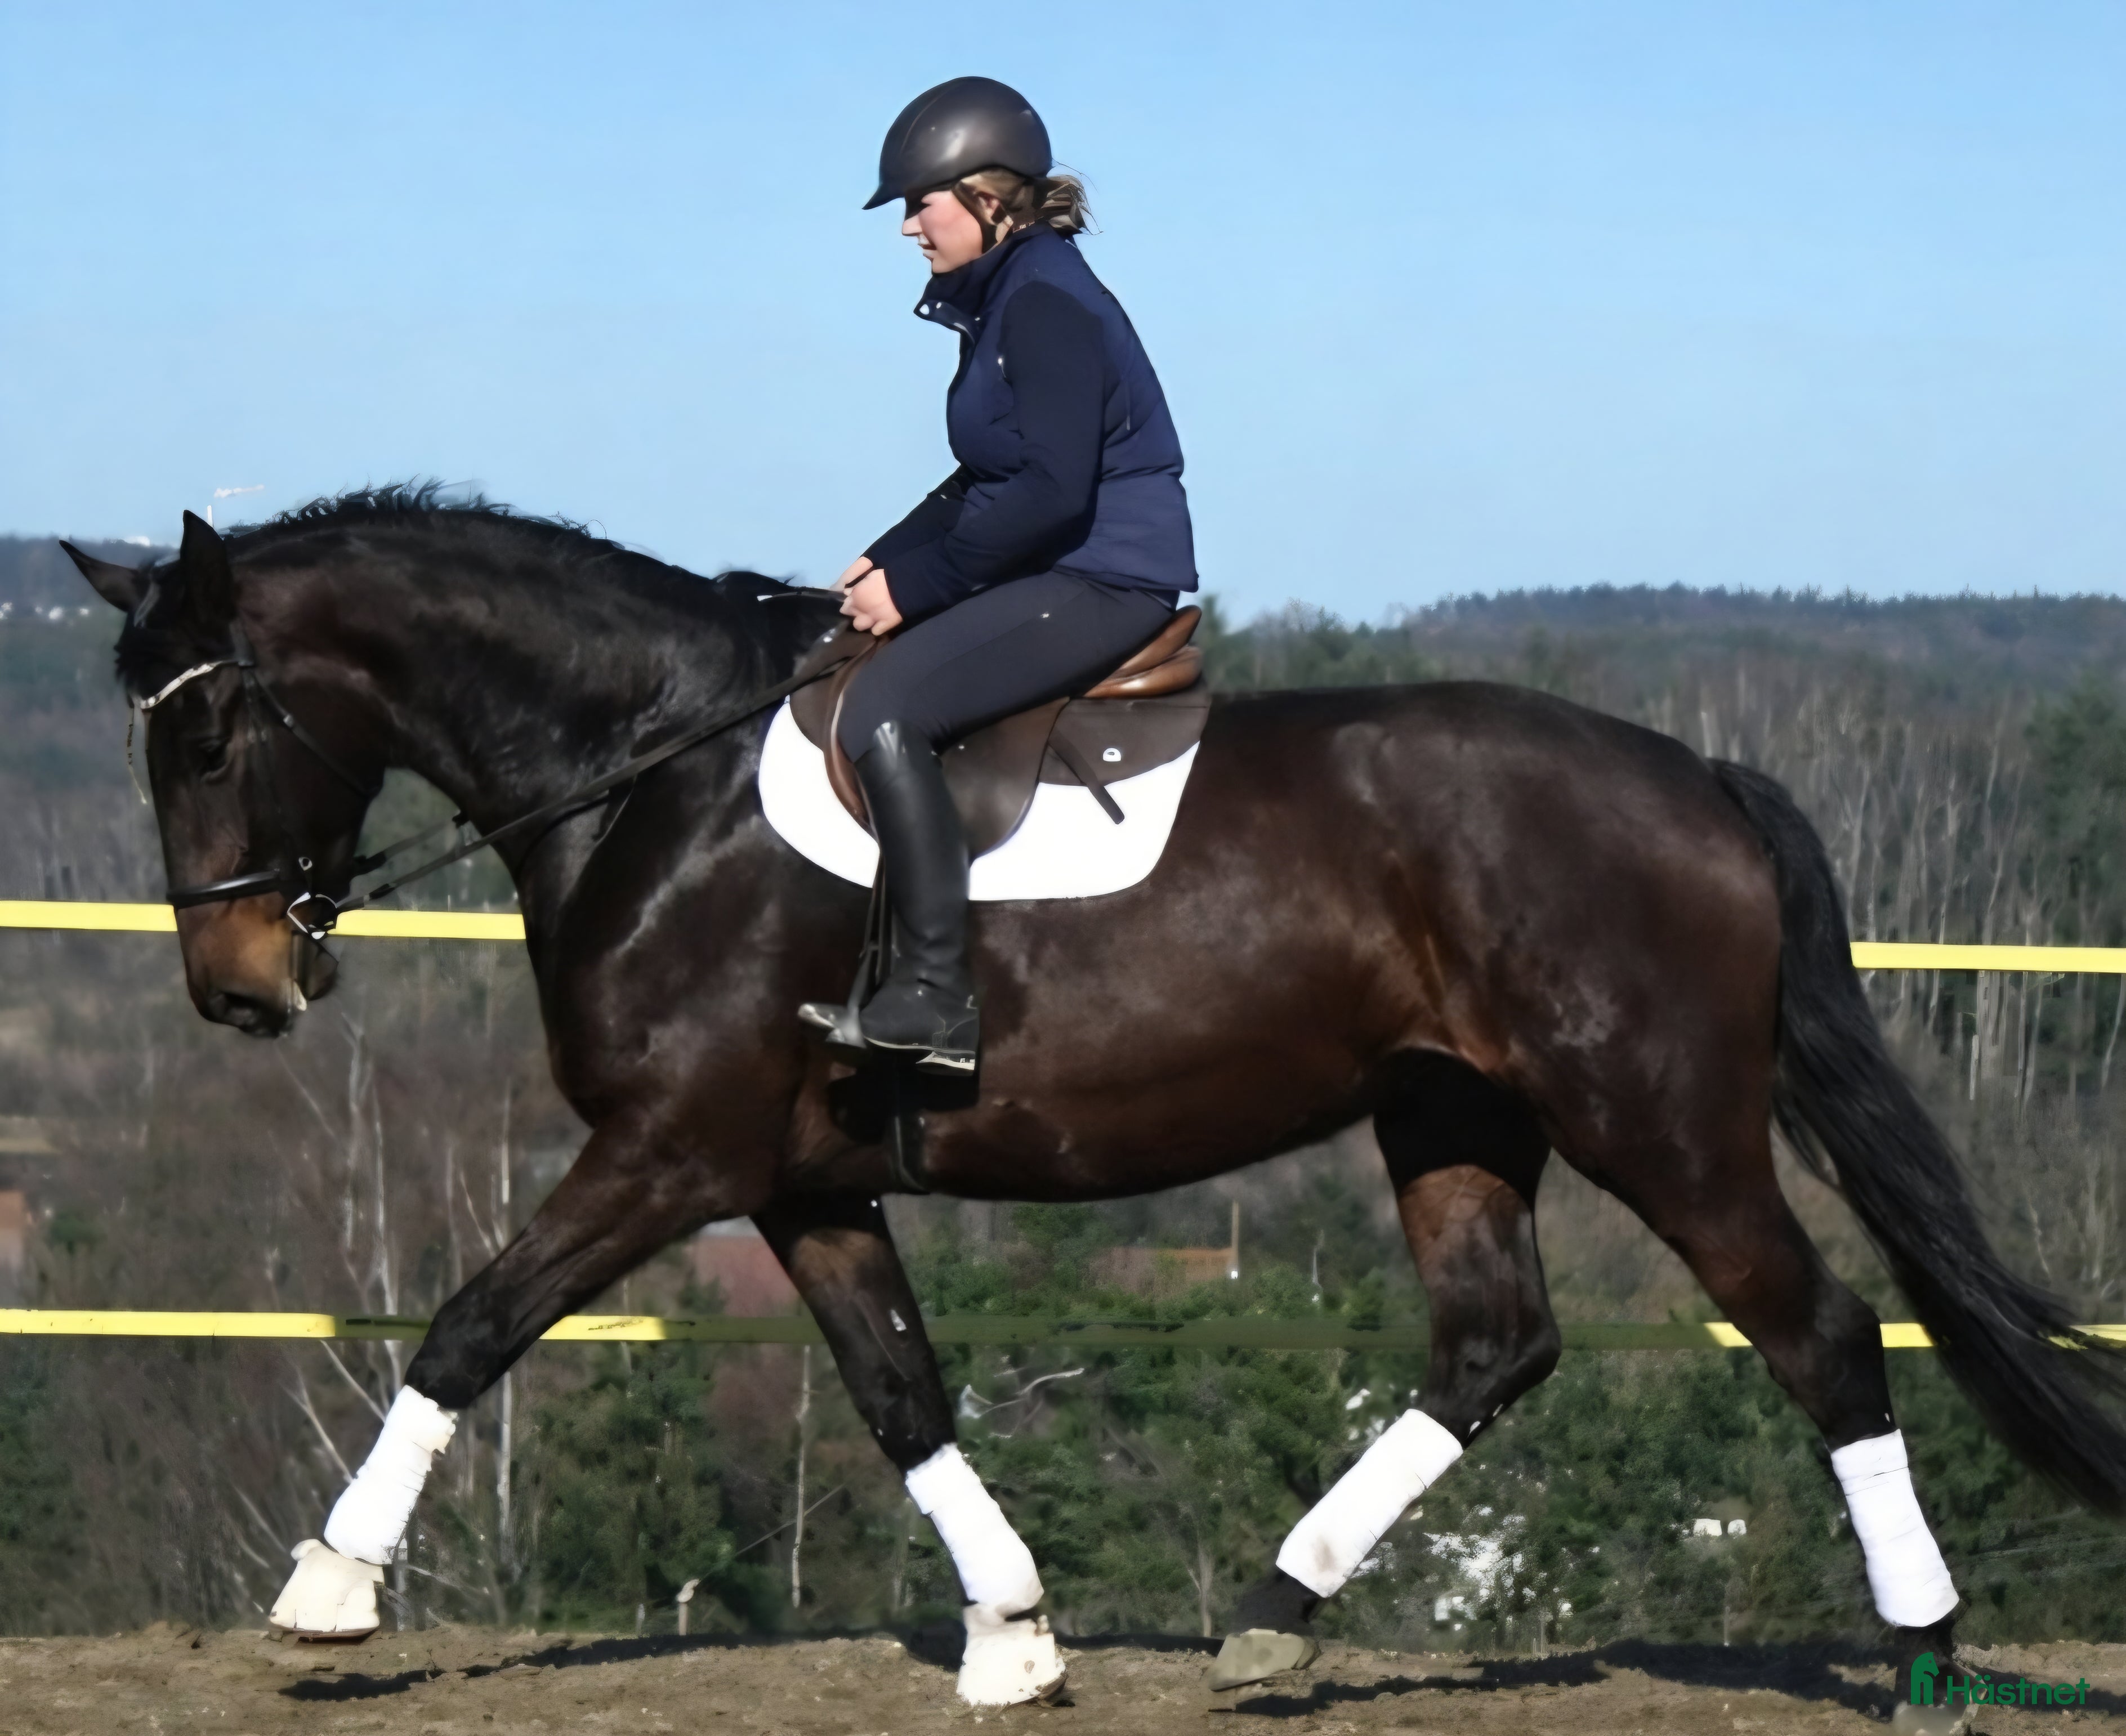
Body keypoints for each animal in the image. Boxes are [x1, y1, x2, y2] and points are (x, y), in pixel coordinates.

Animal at [66, 491, 2126, 1724]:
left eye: (210, 724)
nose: (238, 992)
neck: (654, 786)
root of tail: (1691, 776)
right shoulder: (796, 1181)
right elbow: (900, 1392)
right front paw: (1016, 1633)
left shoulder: (664, 1153)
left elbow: (471, 1323)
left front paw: (328, 1588)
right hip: (1452, 1117)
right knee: (1495, 1341)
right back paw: (1278, 1608)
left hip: (1661, 1121)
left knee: (1818, 1333)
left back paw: (1926, 1647)